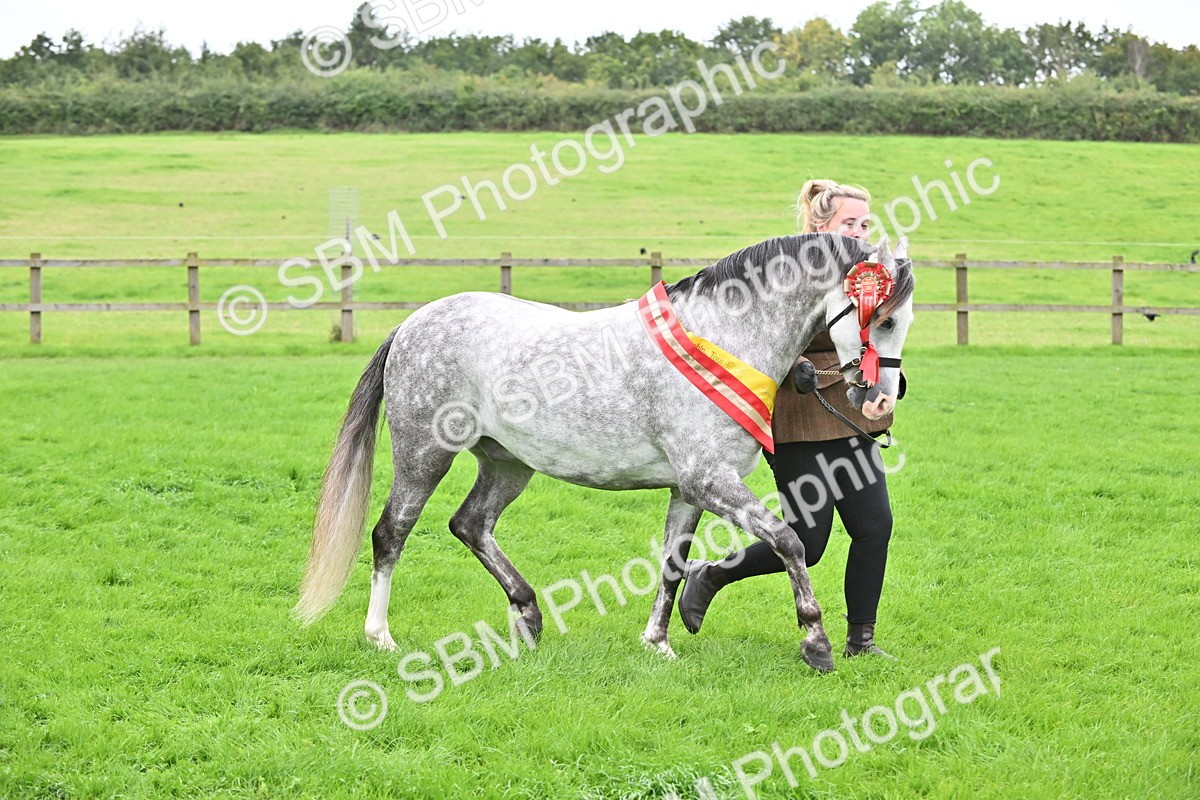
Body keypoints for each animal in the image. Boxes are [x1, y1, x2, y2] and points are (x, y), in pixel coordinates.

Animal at [294, 233, 914, 672]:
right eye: (881, 319)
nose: (881, 400)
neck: (724, 338)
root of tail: (412, 323)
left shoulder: (689, 488)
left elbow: (673, 564)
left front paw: (658, 643)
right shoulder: (710, 479)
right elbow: (789, 541)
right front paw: (816, 641)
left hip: (507, 463)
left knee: (470, 524)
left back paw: (528, 614)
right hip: (424, 453)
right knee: (391, 534)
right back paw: (381, 636)